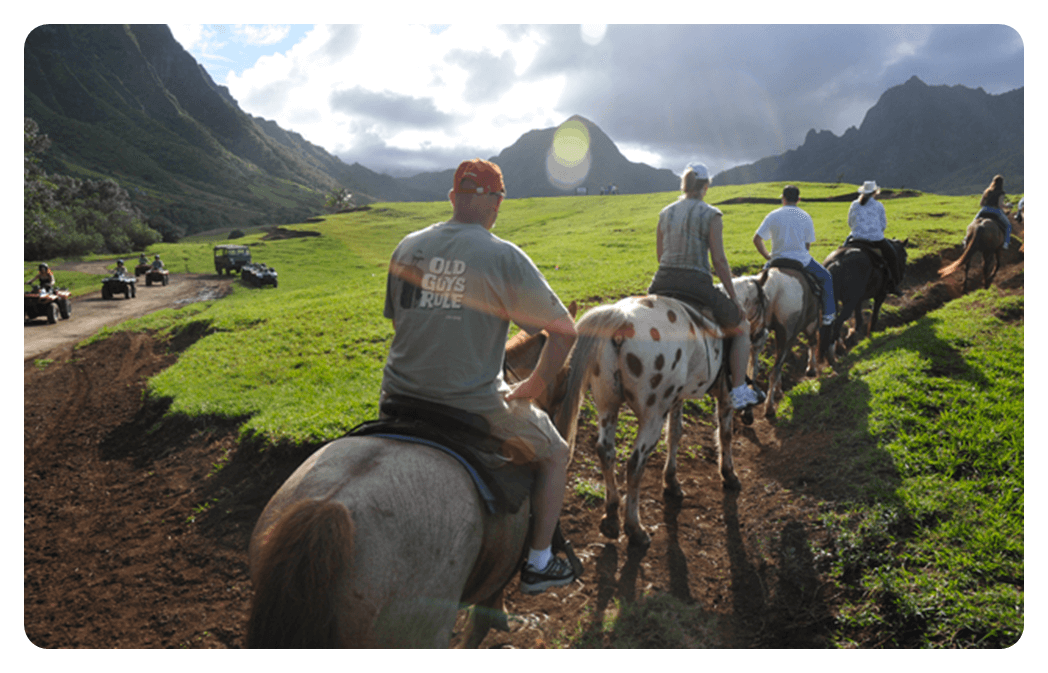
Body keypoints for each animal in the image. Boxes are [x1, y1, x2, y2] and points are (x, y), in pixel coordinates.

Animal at [549, 276, 771, 545]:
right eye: (764, 301)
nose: (762, 334)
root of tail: (620, 318)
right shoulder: (726, 397)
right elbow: (725, 435)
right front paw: (728, 474)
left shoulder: (675, 400)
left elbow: (675, 434)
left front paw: (671, 481)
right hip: (651, 416)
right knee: (635, 464)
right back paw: (634, 527)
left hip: (608, 406)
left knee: (605, 452)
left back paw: (612, 516)